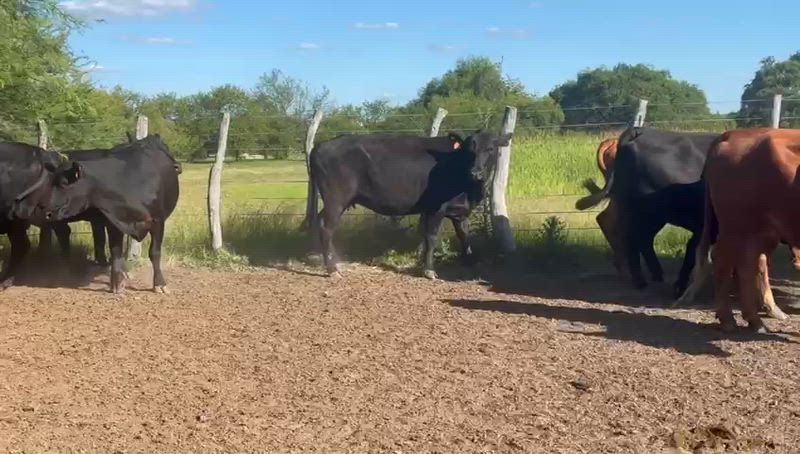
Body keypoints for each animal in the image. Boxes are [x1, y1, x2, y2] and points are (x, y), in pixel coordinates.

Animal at [12, 135, 181, 294]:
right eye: (50, 181)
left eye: (64, 183)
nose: (40, 209)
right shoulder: (113, 221)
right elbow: (115, 251)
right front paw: (117, 282)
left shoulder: (157, 220)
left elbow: (154, 252)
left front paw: (159, 284)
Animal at [307, 131, 510, 279]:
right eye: (469, 150)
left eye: (491, 148)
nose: (476, 172)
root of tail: (321, 145)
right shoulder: (436, 208)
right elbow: (431, 238)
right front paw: (429, 270)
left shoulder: (459, 211)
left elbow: (464, 236)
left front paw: (470, 262)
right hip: (336, 199)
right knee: (326, 228)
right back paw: (332, 269)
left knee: (322, 223)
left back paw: (335, 262)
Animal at [674, 129, 800, 332]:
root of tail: (732, 134)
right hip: (735, 225)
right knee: (724, 259)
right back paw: (729, 320)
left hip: (758, 229)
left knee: (750, 263)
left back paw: (756, 320)